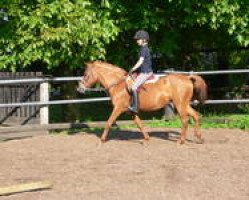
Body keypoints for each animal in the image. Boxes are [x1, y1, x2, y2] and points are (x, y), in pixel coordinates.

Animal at [77, 60, 208, 145]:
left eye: (86, 74)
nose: (79, 89)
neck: (118, 84)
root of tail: (187, 78)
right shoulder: (131, 111)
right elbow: (139, 124)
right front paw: (146, 139)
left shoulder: (118, 108)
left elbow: (109, 122)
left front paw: (102, 140)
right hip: (184, 104)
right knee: (196, 116)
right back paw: (200, 138)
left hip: (180, 104)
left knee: (185, 120)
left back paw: (181, 141)